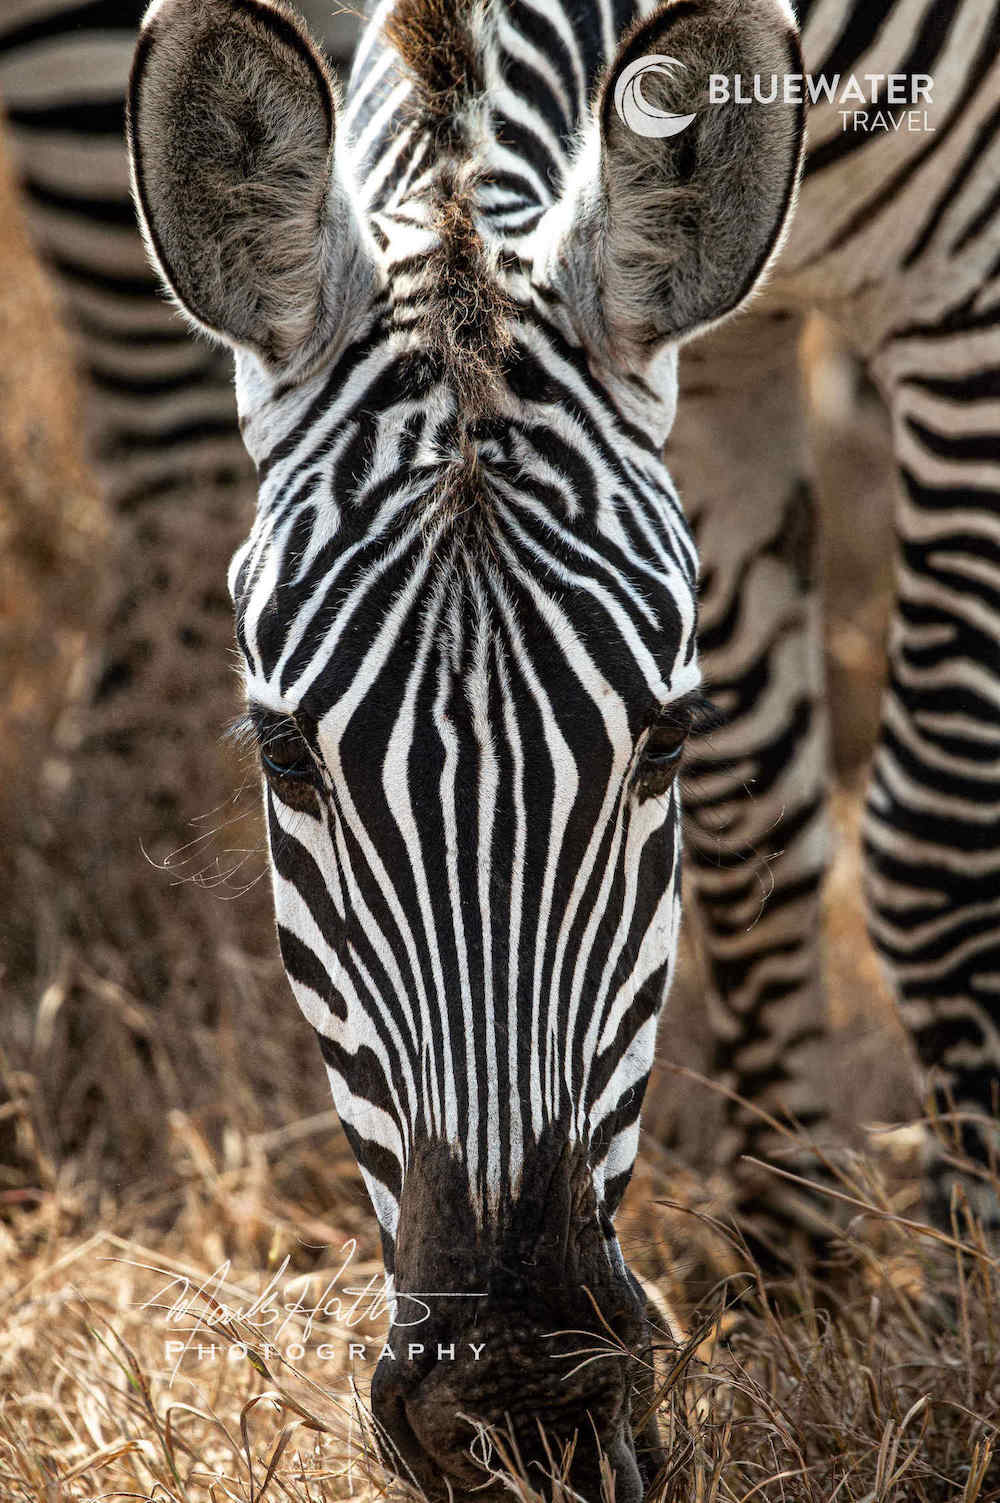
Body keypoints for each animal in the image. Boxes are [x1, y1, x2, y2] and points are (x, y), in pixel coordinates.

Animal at [1, 0, 998, 1494]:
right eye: (285, 755)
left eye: (659, 742)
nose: (519, 1409)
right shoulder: (715, 359)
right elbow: (761, 818)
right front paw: (796, 1267)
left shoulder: (963, 300)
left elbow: (932, 836)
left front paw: (968, 1289)